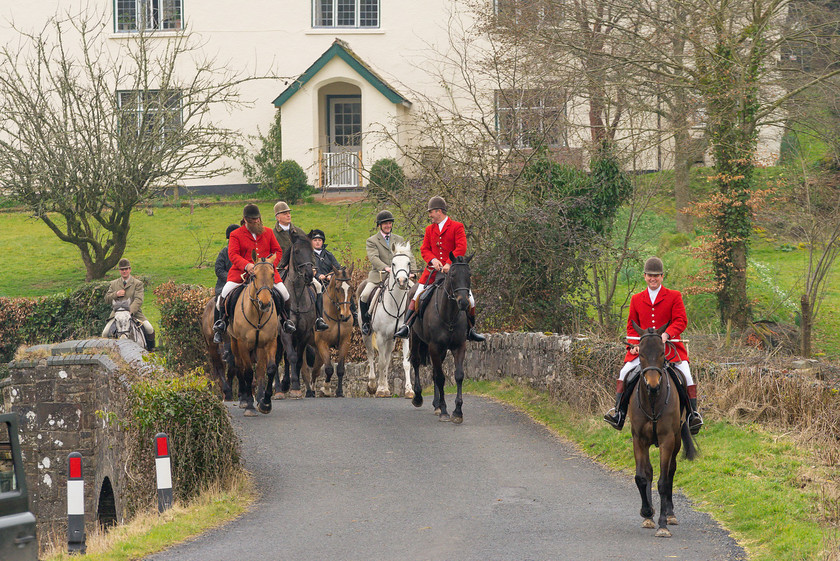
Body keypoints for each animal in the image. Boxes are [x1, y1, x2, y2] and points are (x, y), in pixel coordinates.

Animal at [228, 250, 280, 416]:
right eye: (254, 275)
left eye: (272, 274)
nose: (265, 303)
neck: (257, 313)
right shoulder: (243, 344)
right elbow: (248, 372)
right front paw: (249, 405)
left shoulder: (270, 341)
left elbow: (270, 369)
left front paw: (265, 403)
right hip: (234, 344)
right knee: (240, 368)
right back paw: (245, 400)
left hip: (260, 347)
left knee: (261, 370)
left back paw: (259, 397)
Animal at [312, 264, 358, 398]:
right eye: (337, 288)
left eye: (351, 288)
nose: (345, 316)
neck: (336, 316)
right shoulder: (322, 343)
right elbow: (328, 369)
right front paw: (326, 389)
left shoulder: (344, 342)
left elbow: (340, 369)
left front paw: (339, 392)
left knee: (314, 371)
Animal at [360, 242, 416, 398]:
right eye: (393, 263)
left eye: (409, 263)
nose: (402, 281)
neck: (395, 304)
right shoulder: (380, 336)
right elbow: (381, 362)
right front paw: (379, 389)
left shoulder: (405, 336)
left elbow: (405, 363)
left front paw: (409, 390)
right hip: (366, 334)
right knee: (372, 356)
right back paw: (373, 385)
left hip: (391, 339)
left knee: (388, 357)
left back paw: (385, 387)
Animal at [408, 252, 472, 422]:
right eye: (453, 275)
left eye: (469, 275)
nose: (463, 302)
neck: (449, 315)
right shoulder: (434, 347)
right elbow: (441, 378)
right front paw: (444, 410)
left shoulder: (459, 346)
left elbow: (458, 375)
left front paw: (457, 411)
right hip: (415, 338)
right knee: (416, 362)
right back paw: (418, 397)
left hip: (441, 350)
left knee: (435, 372)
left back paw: (436, 404)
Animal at [628, 320, 700, 532]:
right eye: (641, 353)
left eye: (662, 352)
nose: (653, 385)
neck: (652, 400)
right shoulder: (638, 439)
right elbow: (642, 476)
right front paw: (647, 513)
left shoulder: (667, 439)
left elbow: (663, 481)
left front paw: (662, 524)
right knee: (650, 472)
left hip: (675, 440)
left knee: (670, 472)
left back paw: (670, 514)